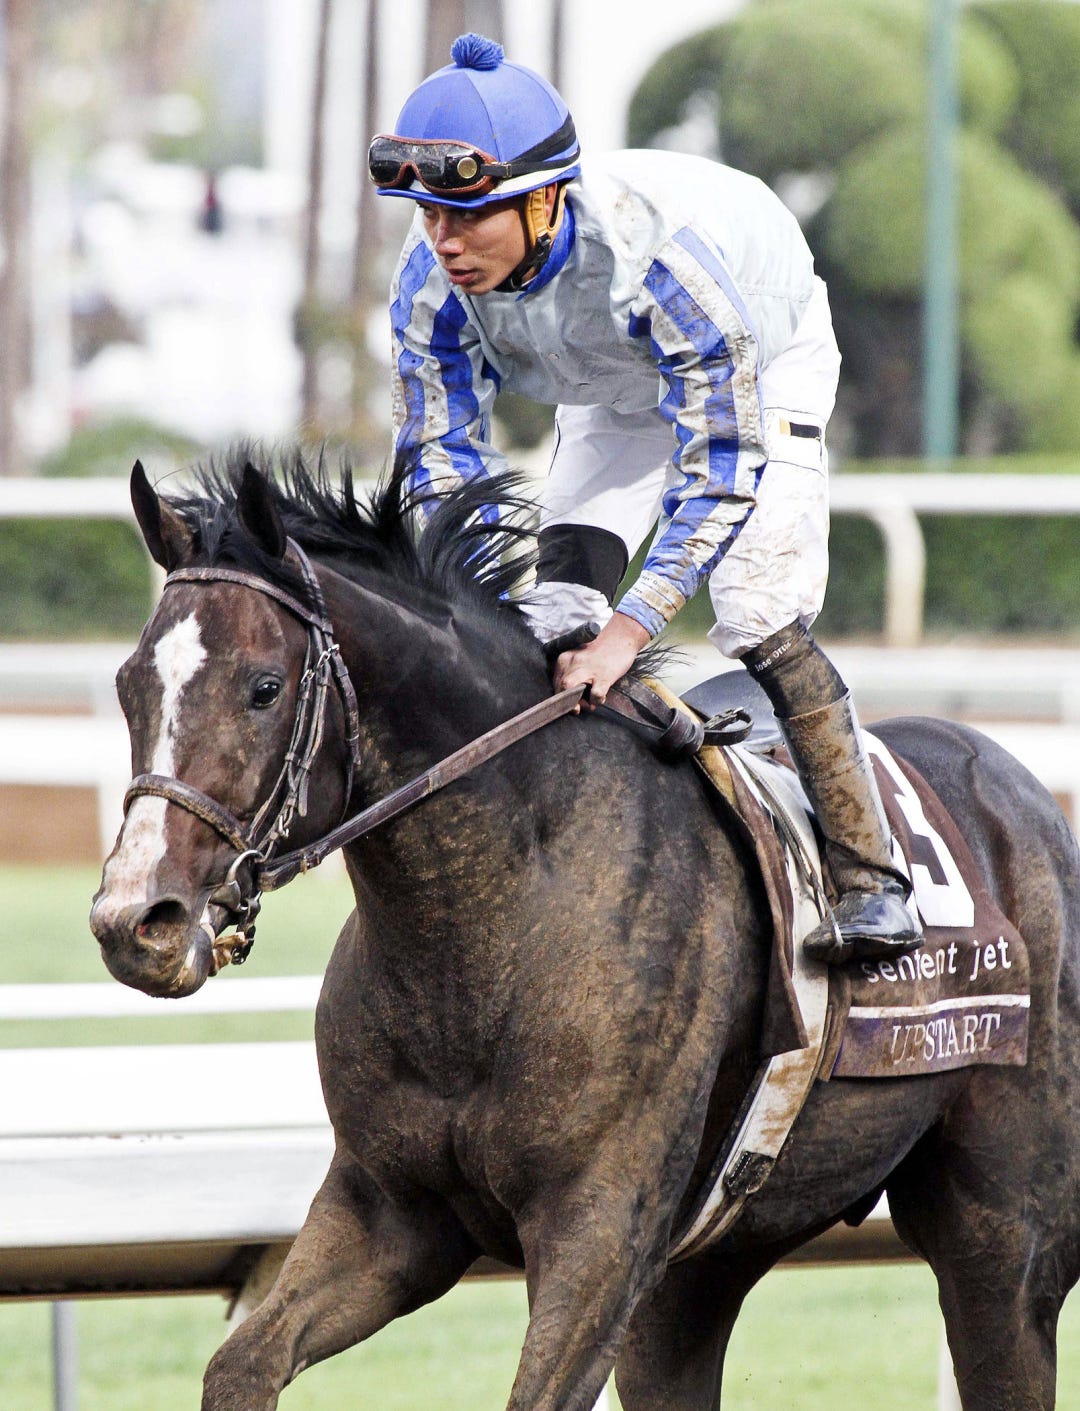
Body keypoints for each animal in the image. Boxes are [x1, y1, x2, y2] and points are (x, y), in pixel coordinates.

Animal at [90, 450, 1080, 1411]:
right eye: (130, 684)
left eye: (262, 688)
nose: (136, 920)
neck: (492, 931)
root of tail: (1023, 791)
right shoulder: (392, 1210)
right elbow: (241, 1365)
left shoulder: (598, 1229)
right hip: (702, 1269)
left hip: (1001, 1240)